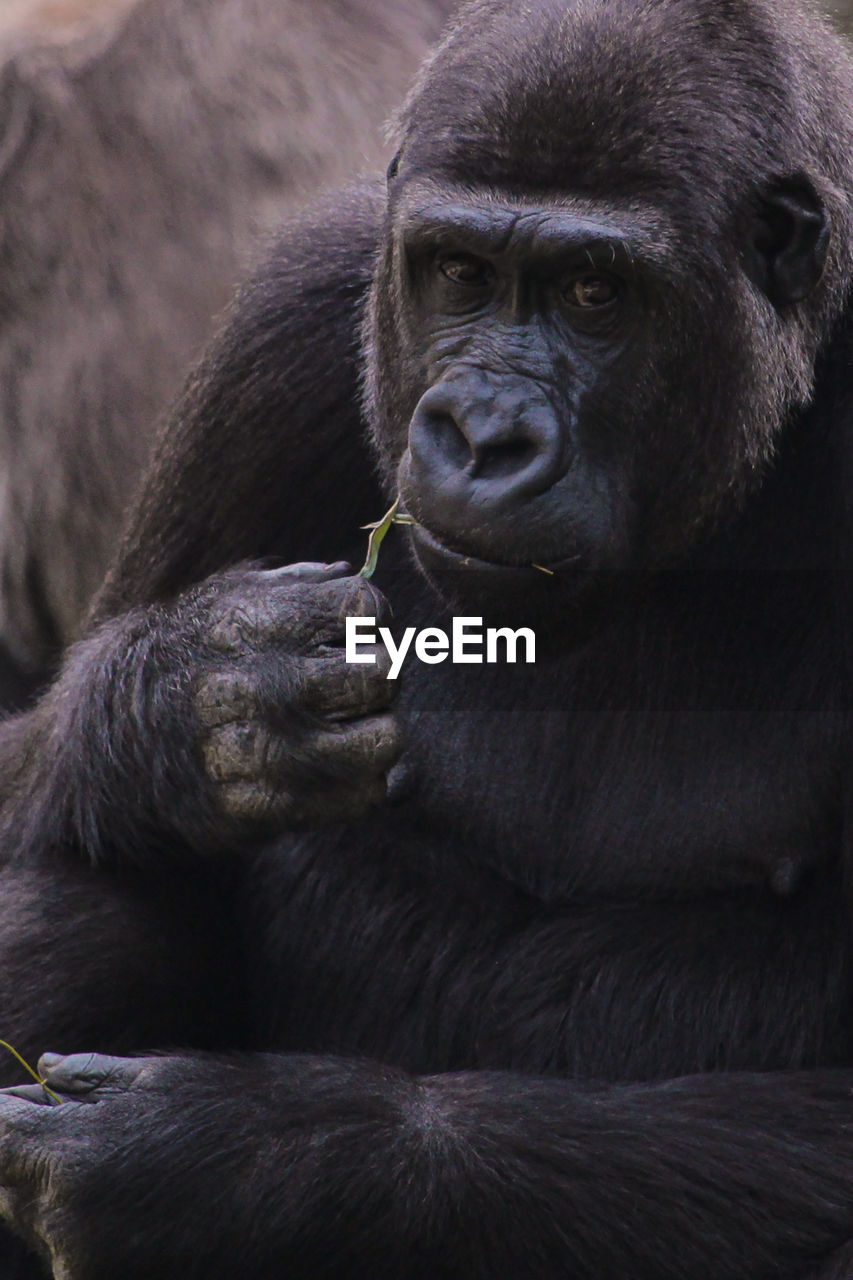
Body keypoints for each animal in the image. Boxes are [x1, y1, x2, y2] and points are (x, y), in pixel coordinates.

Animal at [0, 0, 850, 1274]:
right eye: (459, 273)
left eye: (595, 290)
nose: (482, 433)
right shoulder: (295, 312)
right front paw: (190, 707)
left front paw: (234, 1155)